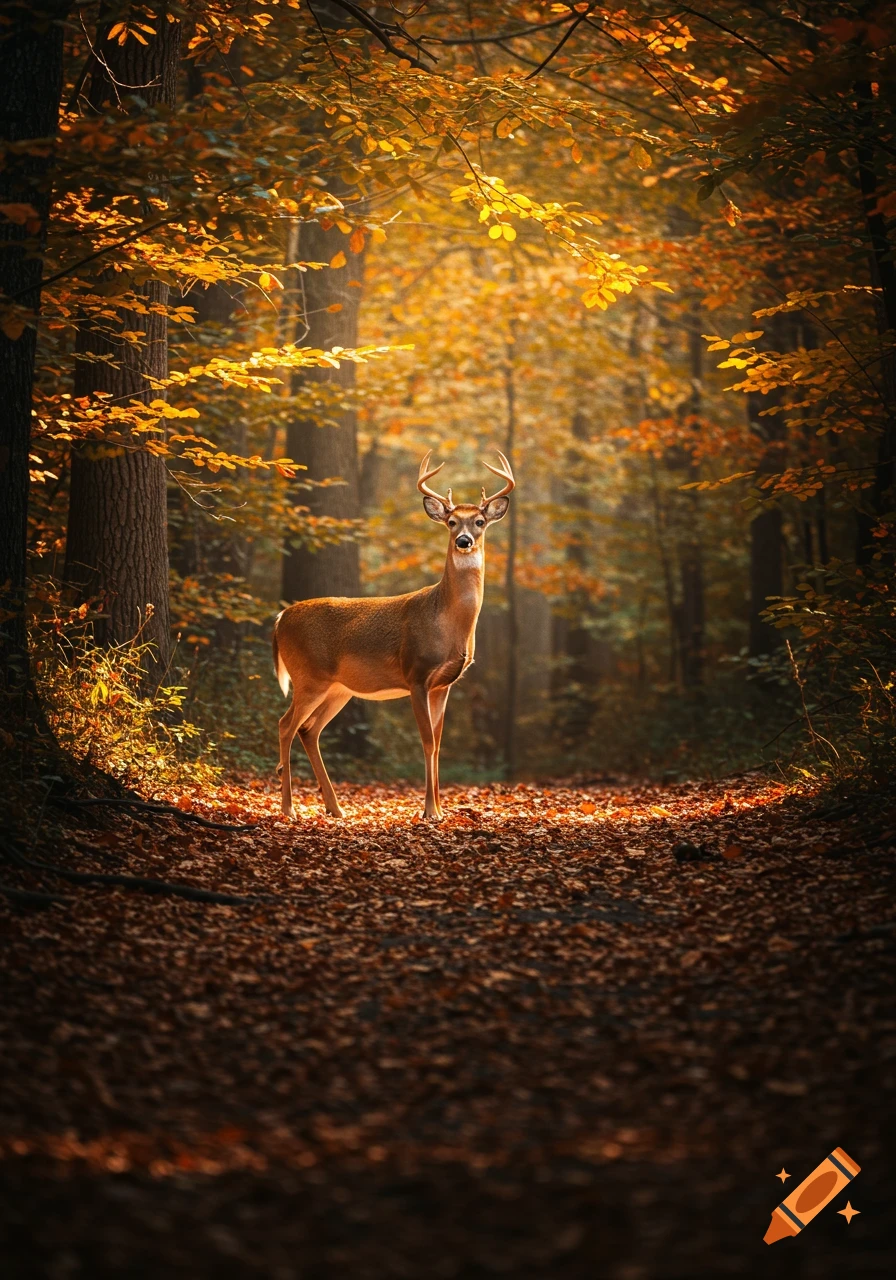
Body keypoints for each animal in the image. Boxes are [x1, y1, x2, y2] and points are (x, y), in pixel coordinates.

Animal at [272, 450, 515, 820]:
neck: (447, 622)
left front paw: (439, 808)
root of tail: (281, 617)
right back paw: (289, 808)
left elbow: (438, 744)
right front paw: (430, 810)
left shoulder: (444, 684)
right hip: (308, 676)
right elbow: (427, 741)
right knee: (286, 725)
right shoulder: (416, 674)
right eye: (451, 522)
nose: (464, 542)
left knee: (308, 730)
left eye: (480, 522)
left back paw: (335, 808)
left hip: (339, 688)